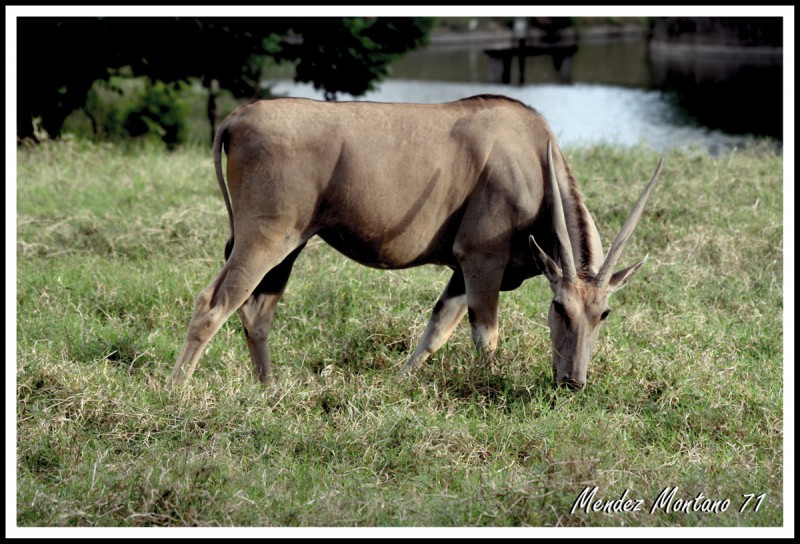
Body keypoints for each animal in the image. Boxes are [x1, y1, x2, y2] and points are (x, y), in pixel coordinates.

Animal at [169, 94, 664, 392]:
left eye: (603, 314)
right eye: (559, 307)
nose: (572, 382)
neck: (533, 159)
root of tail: (239, 118)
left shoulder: (461, 273)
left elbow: (436, 330)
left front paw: (397, 382)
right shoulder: (480, 260)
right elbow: (485, 336)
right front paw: (485, 389)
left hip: (289, 248)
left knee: (256, 313)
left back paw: (268, 389)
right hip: (263, 240)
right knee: (213, 304)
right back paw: (177, 392)